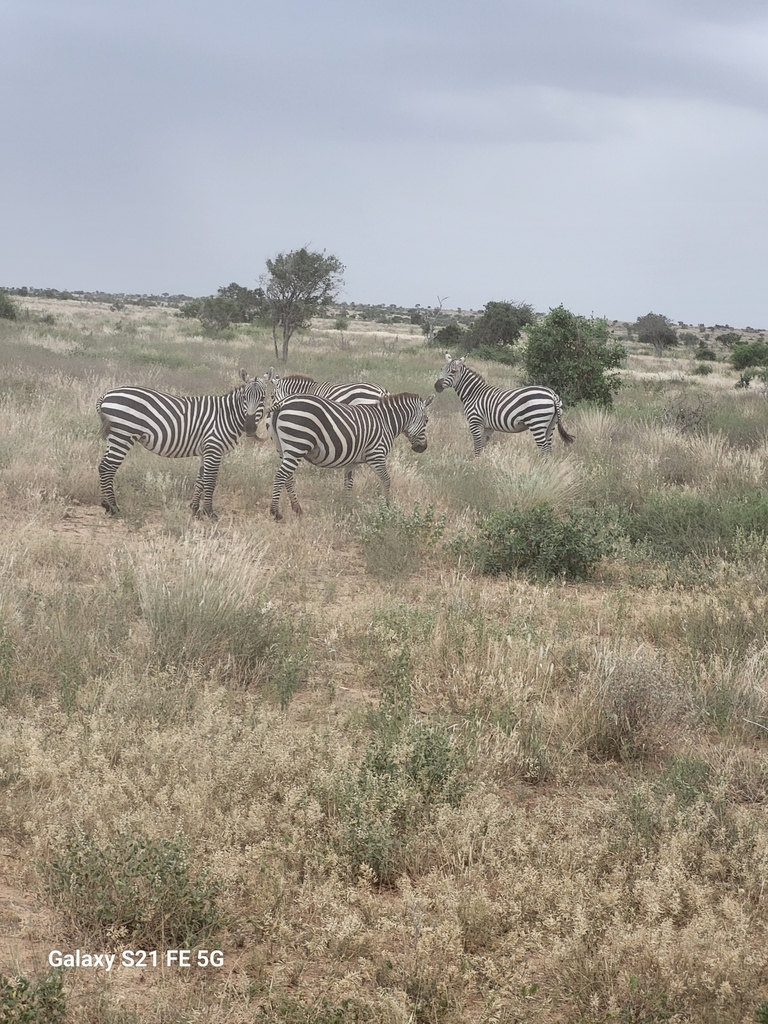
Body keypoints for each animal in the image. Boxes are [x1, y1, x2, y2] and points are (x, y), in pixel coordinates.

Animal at [96, 368, 268, 520]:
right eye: (244, 397)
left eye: (263, 398)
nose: (250, 427)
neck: (226, 415)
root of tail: (106, 395)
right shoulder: (214, 449)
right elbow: (210, 481)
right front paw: (209, 513)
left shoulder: (206, 450)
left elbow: (200, 480)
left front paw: (194, 510)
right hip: (123, 435)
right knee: (107, 467)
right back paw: (114, 508)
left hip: (115, 437)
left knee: (103, 466)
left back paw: (106, 505)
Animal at [266, 391, 434, 520]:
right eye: (426, 420)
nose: (423, 448)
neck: (386, 422)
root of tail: (283, 402)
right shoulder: (377, 455)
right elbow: (386, 480)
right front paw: (387, 508)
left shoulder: (352, 461)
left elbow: (348, 483)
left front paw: (347, 508)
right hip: (297, 445)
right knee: (281, 476)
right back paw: (275, 512)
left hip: (282, 448)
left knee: (288, 478)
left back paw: (297, 508)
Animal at [436, 356, 573, 460]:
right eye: (442, 369)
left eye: (453, 371)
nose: (437, 386)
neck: (473, 393)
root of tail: (552, 394)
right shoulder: (488, 427)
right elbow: (483, 444)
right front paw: (480, 462)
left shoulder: (475, 421)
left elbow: (477, 444)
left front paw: (474, 463)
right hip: (551, 424)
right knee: (548, 448)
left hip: (537, 422)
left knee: (544, 448)